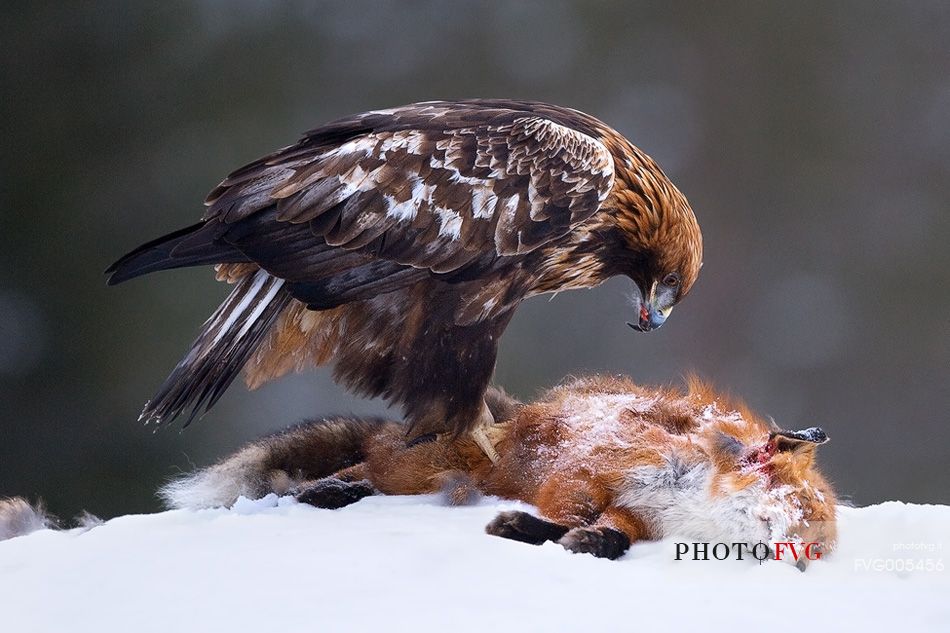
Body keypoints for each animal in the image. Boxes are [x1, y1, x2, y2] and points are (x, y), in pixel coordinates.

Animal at [158, 372, 840, 560]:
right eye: (802, 511)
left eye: (816, 532)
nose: (807, 551)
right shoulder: (590, 469)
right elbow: (563, 510)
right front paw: (523, 529)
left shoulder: (638, 514)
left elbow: (614, 536)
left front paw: (587, 544)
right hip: (427, 467)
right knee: (358, 472)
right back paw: (322, 491)